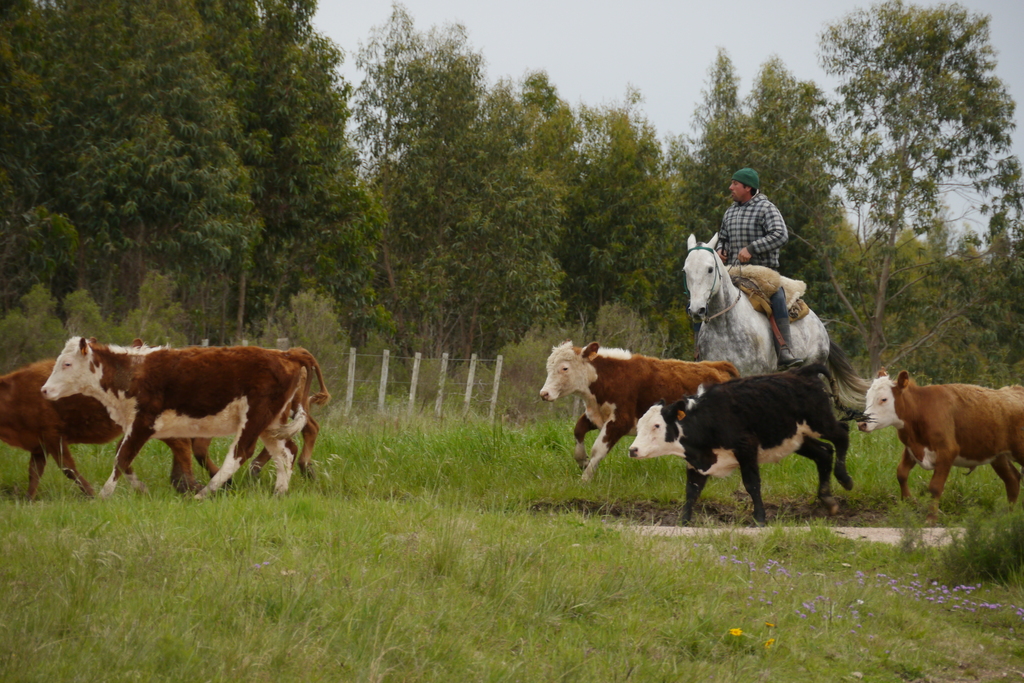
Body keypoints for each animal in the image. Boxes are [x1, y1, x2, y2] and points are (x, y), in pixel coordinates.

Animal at [1, 358, 218, 497]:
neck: (15, 393)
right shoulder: (39, 445)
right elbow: (34, 474)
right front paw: (28, 499)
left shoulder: (53, 437)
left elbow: (68, 468)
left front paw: (91, 494)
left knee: (182, 445)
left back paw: (188, 484)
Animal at [536, 339, 745, 481]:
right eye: (548, 368)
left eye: (564, 368)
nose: (544, 393)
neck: (609, 377)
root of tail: (716, 365)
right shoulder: (595, 416)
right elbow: (578, 431)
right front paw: (582, 462)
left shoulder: (620, 420)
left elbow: (598, 449)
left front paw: (586, 478)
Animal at [626, 366, 851, 528]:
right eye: (639, 425)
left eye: (657, 425)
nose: (633, 450)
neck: (707, 419)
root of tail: (804, 371)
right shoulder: (697, 462)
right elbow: (692, 491)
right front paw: (683, 522)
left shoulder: (746, 448)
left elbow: (752, 484)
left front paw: (759, 519)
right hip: (798, 439)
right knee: (824, 453)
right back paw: (828, 500)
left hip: (821, 423)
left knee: (842, 434)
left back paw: (844, 478)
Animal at [856, 370, 1024, 520]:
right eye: (867, 397)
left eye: (883, 399)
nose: (862, 423)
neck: (921, 410)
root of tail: (1017, 389)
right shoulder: (911, 449)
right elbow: (901, 473)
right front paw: (909, 502)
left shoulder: (947, 451)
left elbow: (935, 487)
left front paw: (931, 517)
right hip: (999, 456)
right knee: (1012, 479)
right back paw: (1007, 516)